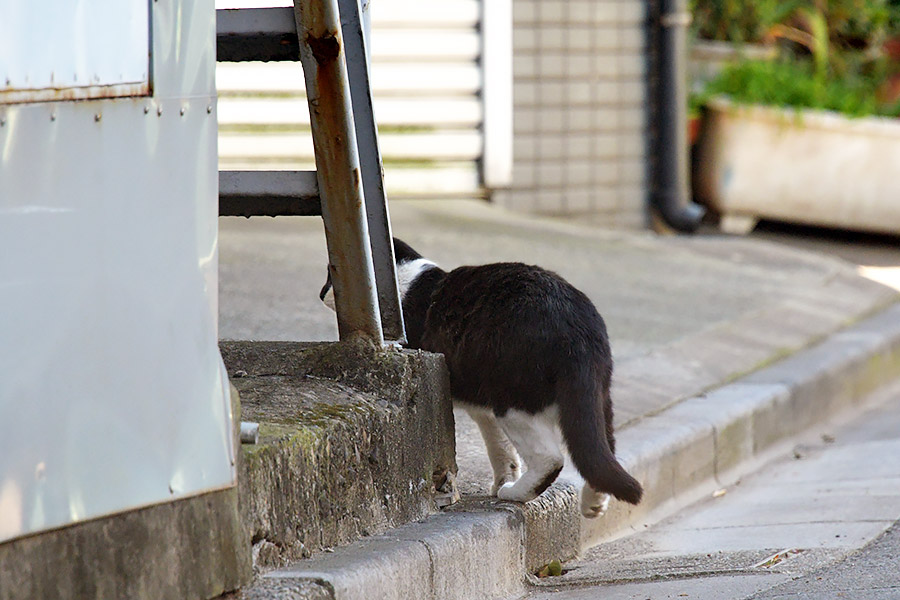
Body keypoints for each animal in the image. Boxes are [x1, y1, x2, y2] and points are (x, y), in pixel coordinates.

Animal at [320, 238, 644, 516]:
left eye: (331, 274)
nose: (322, 293)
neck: (405, 281)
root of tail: (577, 327)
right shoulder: (482, 408)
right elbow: (500, 448)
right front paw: (503, 476)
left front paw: (504, 485)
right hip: (596, 400)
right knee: (599, 450)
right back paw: (592, 502)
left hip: (512, 399)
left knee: (551, 458)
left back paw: (515, 493)